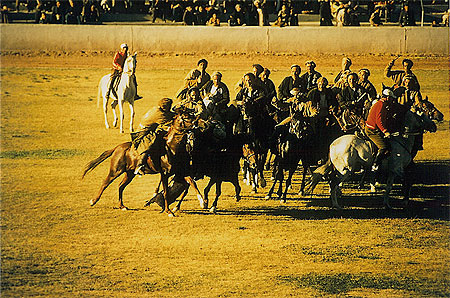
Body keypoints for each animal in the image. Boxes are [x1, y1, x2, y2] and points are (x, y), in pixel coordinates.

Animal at [306, 110, 436, 210]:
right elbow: (408, 181)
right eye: (423, 117)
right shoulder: (398, 169)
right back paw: (336, 204)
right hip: (345, 170)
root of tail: (333, 144)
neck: (402, 140)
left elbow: (389, 188)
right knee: (333, 183)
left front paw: (387, 204)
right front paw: (404, 200)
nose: (434, 126)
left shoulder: (392, 172)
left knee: (331, 181)